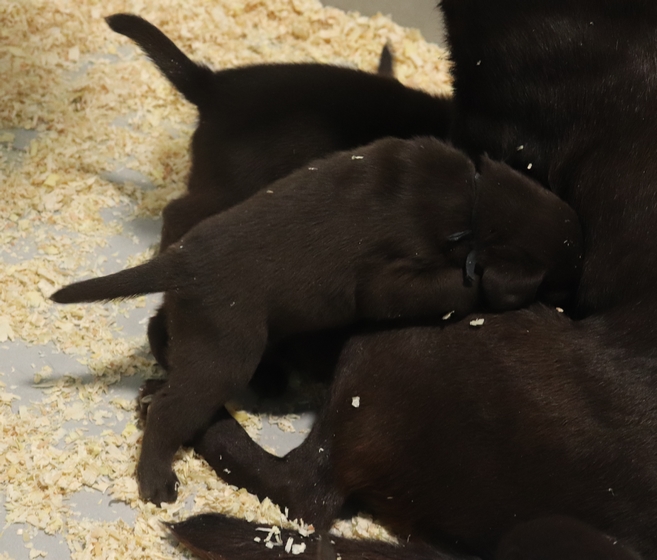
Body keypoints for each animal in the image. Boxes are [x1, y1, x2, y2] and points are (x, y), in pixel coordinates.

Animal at [51, 135, 582, 506]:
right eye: (561, 282)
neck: (474, 200)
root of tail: (180, 262)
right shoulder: (387, 279)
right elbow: (447, 286)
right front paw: (475, 291)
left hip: (201, 326)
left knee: (159, 329)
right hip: (227, 350)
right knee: (167, 409)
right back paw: (156, 480)